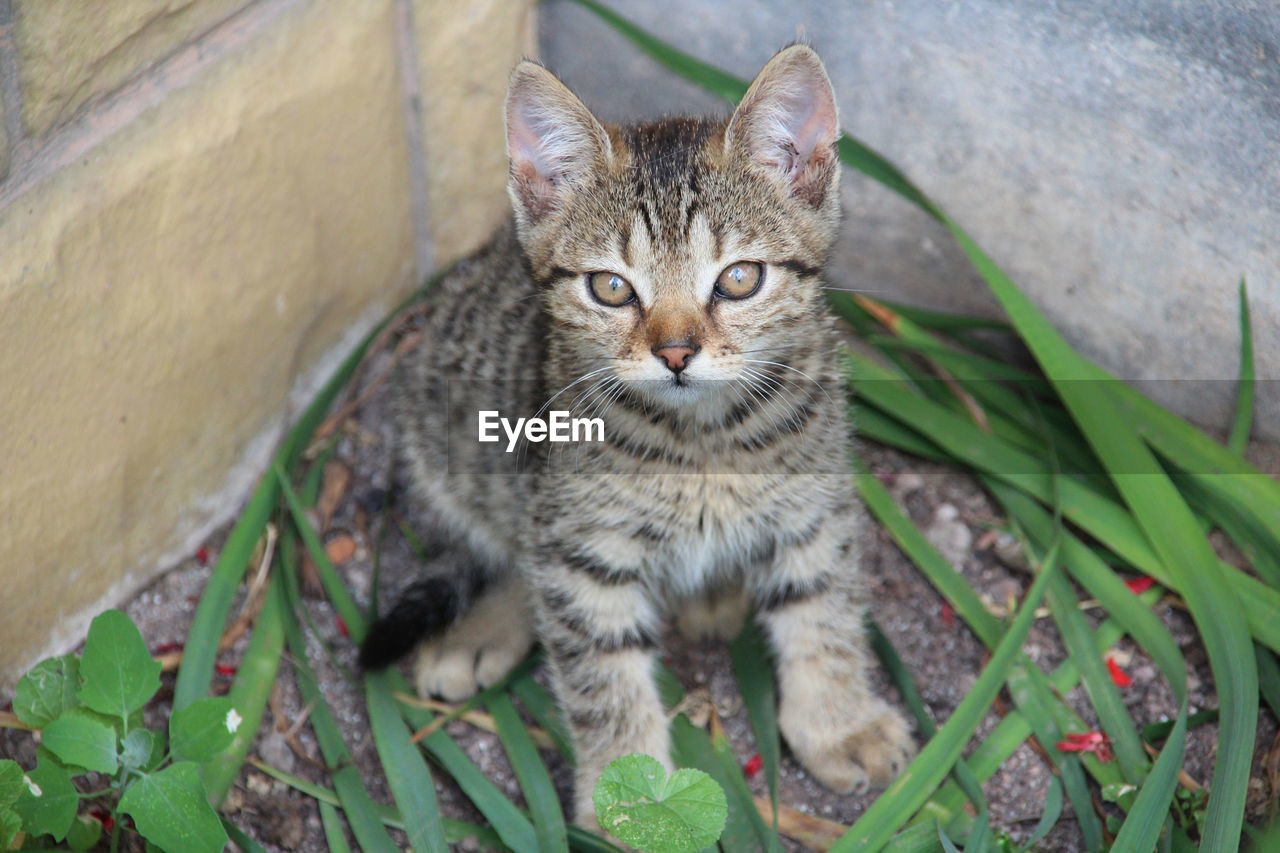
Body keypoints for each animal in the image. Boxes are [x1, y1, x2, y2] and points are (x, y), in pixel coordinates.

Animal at [360, 44, 916, 819]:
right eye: (612, 288)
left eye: (739, 279)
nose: (676, 352)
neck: (703, 439)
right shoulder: (580, 545)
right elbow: (601, 669)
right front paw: (626, 792)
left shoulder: (816, 504)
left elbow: (822, 610)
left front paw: (840, 721)